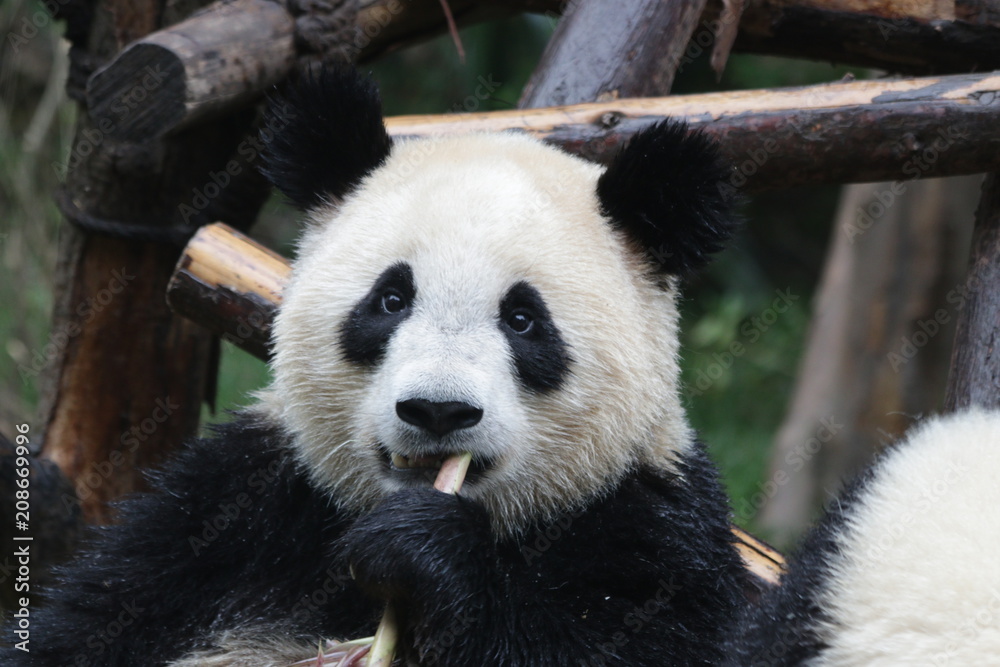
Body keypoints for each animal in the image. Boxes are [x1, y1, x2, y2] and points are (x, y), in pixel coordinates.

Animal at [5, 67, 1000, 667]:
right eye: (390, 299)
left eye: (524, 320)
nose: (438, 413)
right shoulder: (234, 513)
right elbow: (90, 622)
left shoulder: (648, 531)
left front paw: (425, 557)